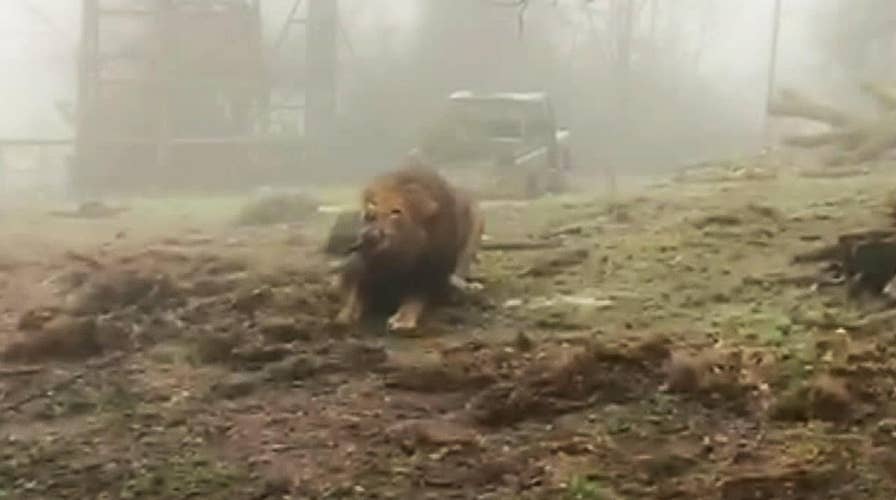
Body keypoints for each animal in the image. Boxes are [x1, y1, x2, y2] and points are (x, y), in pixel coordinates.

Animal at [332, 161, 484, 332]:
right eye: (373, 203)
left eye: (396, 211)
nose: (369, 215)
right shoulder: (363, 267)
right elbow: (355, 294)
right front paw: (345, 316)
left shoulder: (426, 274)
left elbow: (414, 299)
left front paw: (402, 321)